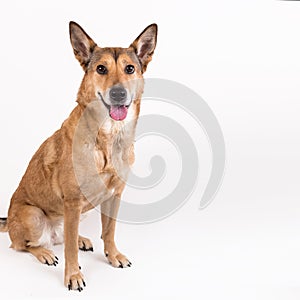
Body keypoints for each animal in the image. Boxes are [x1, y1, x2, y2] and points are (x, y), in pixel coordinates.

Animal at [0, 20, 158, 290]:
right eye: (101, 69)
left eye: (129, 69)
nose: (118, 93)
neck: (107, 139)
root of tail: (8, 222)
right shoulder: (72, 202)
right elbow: (70, 251)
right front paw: (73, 276)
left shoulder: (114, 195)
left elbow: (109, 231)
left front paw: (113, 255)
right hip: (34, 215)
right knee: (24, 245)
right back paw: (44, 253)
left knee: (64, 237)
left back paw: (80, 239)